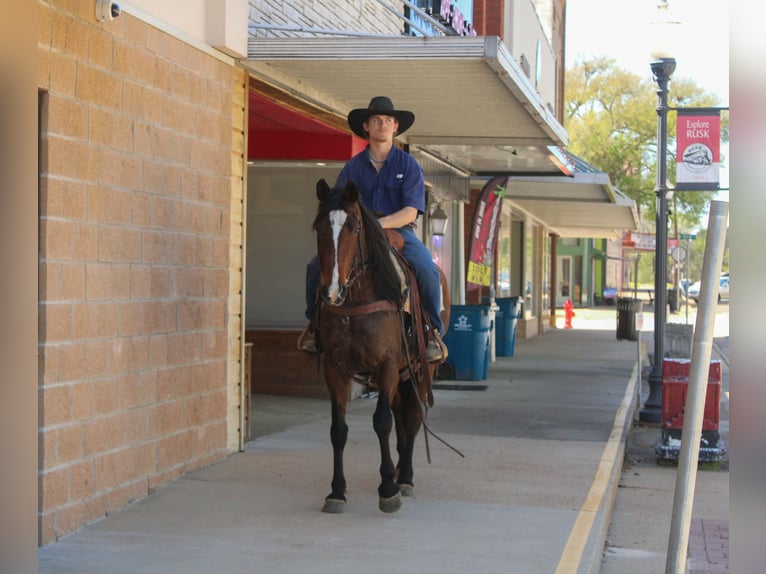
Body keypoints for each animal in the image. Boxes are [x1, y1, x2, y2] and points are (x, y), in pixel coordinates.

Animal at [311, 178, 450, 514]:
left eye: (354, 228)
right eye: (319, 227)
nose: (331, 291)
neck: (356, 299)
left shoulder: (385, 365)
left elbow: (382, 422)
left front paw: (388, 490)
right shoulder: (334, 368)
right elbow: (338, 430)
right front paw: (336, 491)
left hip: (419, 370)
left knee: (412, 418)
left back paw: (406, 477)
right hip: (403, 373)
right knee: (403, 416)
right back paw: (400, 471)